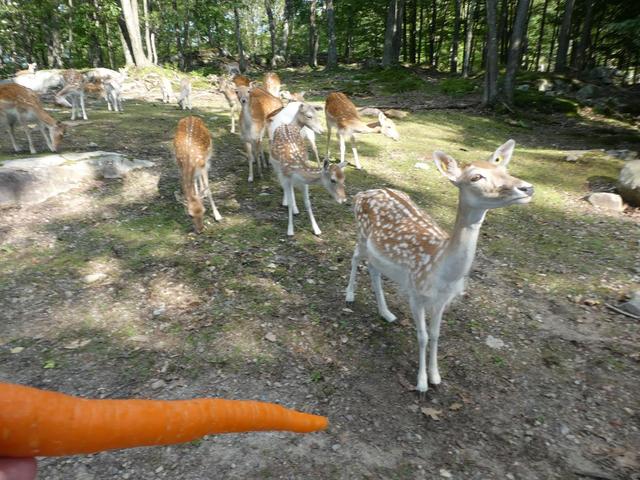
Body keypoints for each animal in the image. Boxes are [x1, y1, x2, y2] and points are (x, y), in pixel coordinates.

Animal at [344, 140, 536, 394]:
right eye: (476, 177)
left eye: (504, 169)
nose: (527, 188)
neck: (442, 270)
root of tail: (361, 194)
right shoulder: (416, 293)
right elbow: (423, 336)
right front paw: (421, 383)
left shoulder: (444, 299)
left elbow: (435, 335)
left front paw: (436, 376)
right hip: (361, 234)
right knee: (355, 257)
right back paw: (349, 295)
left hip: (376, 252)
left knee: (374, 269)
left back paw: (386, 313)